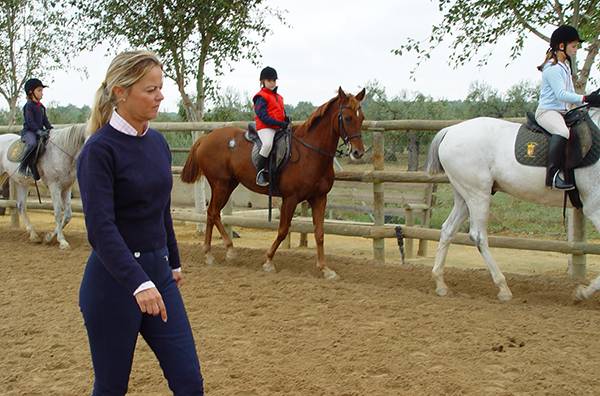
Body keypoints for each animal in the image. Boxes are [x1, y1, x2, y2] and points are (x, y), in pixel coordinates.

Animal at [180, 87, 364, 278]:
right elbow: (283, 230)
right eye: (348, 118)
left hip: (228, 185)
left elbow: (319, 233)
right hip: (220, 184)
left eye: (362, 118)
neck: (310, 153)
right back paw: (227, 251)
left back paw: (210, 253)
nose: (358, 152)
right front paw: (268, 261)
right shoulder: (290, 198)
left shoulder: (319, 198)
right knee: (214, 212)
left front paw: (325, 269)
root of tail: (205, 139)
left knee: (211, 213)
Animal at [424, 106, 600, 302]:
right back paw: (503, 288)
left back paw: (440, 284)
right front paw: (583, 293)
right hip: (478, 194)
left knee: (448, 229)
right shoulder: (595, 206)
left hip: (464, 197)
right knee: (478, 236)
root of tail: (450, 130)